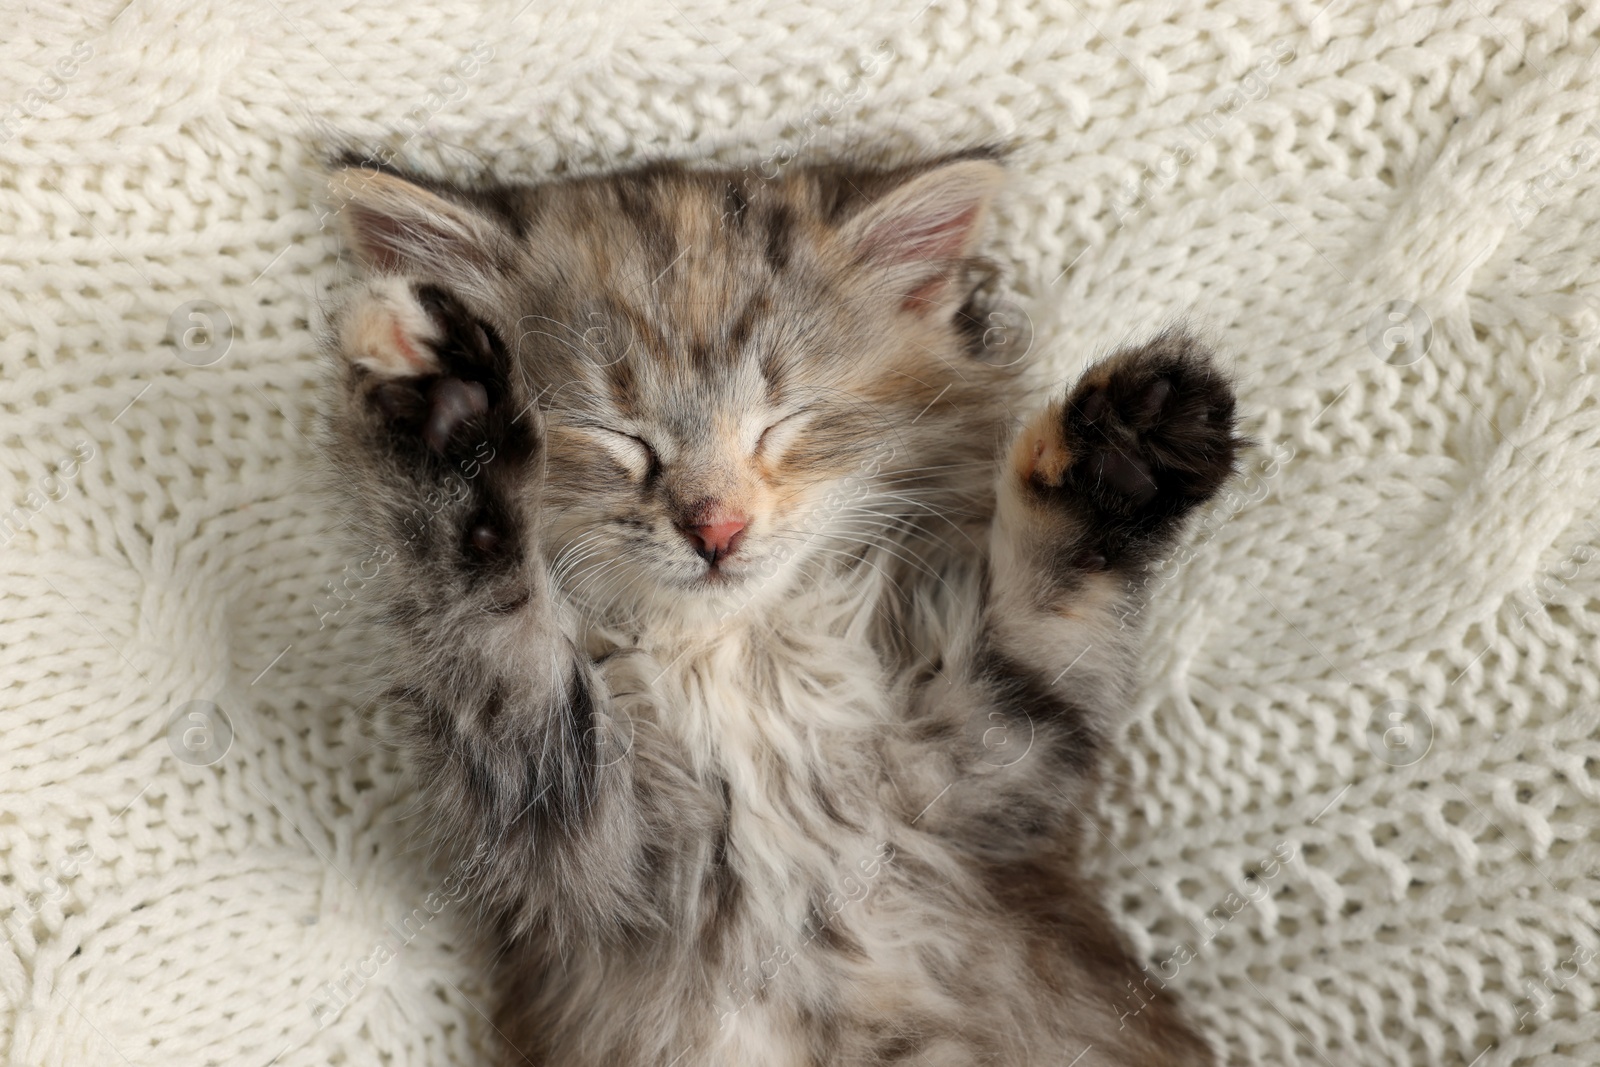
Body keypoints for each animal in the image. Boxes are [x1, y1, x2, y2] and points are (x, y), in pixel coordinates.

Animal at [312, 150, 1235, 1067]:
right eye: (619, 436)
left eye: (781, 423)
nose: (715, 527)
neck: (736, 654)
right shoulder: (581, 839)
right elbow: (503, 637)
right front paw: (454, 426)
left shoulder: (986, 784)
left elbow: (1050, 616)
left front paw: (1119, 454)